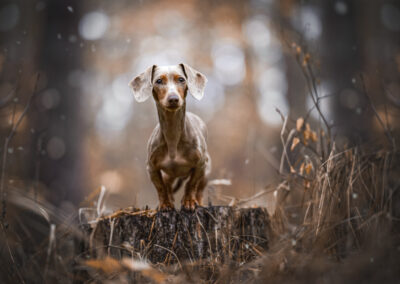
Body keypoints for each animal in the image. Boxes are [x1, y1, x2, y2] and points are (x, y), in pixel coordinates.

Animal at [130, 64, 212, 211]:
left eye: (181, 79)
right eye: (158, 81)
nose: (173, 98)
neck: (173, 137)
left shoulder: (201, 164)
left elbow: (191, 184)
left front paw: (189, 202)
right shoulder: (152, 168)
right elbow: (161, 188)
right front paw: (165, 204)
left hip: (206, 172)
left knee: (199, 190)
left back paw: (198, 202)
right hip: (168, 175)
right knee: (168, 186)